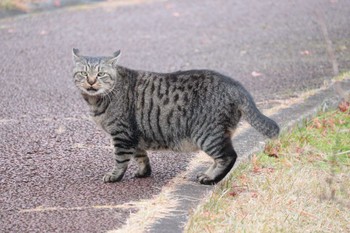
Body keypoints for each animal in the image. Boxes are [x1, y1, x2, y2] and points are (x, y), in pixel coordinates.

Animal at [71, 49, 278, 186]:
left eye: (100, 74)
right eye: (83, 73)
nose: (91, 82)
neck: (95, 101)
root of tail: (235, 84)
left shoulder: (122, 134)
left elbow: (120, 159)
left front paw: (114, 176)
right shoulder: (134, 135)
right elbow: (141, 155)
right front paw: (144, 172)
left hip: (207, 134)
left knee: (228, 156)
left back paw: (210, 178)